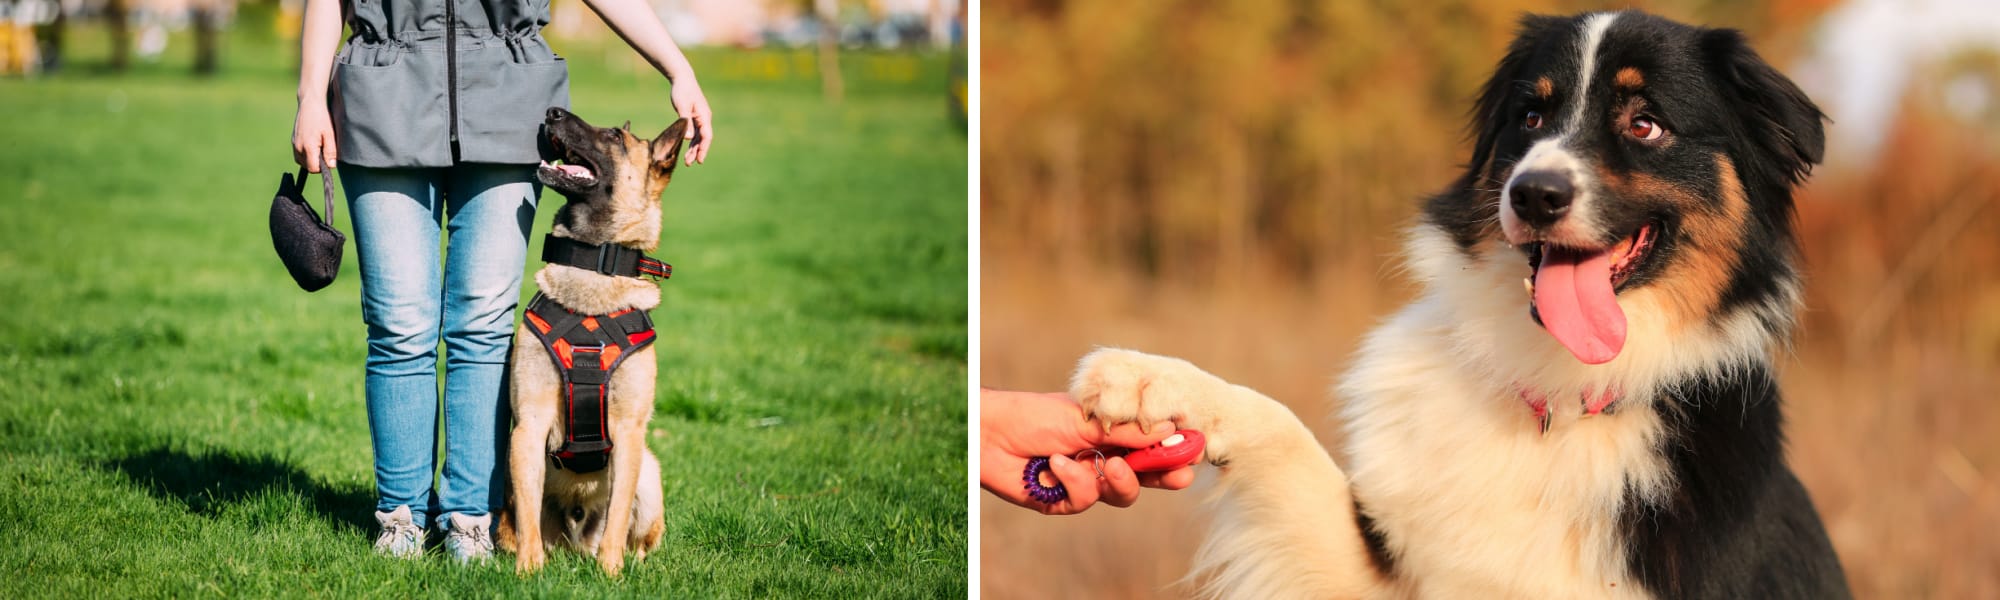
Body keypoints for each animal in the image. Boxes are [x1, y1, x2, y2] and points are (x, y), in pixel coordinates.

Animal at [498, 108, 688, 576]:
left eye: (615, 137)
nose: (551, 112)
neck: (593, 267)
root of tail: (575, 543)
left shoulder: (629, 433)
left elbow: (618, 516)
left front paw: (610, 573)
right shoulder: (528, 427)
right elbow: (527, 512)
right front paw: (528, 571)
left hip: (650, 472)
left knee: (638, 536)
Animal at [1072, 10, 1848, 600]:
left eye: (1645, 124)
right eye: (1530, 115)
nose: (1533, 195)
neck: (1560, 399)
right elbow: (1283, 428)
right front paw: (1148, 378)